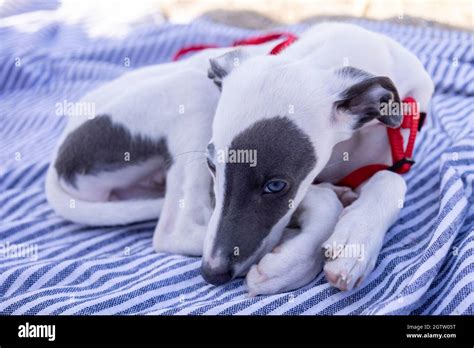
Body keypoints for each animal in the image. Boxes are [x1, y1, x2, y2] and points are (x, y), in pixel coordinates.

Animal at [45, 23, 434, 296]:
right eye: (212, 165)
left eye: (275, 185)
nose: (212, 274)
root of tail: (60, 160)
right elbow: (322, 199)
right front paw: (293, 259)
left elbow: (391, 178)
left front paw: (356, 242)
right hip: (194, 93)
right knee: (176, 229)